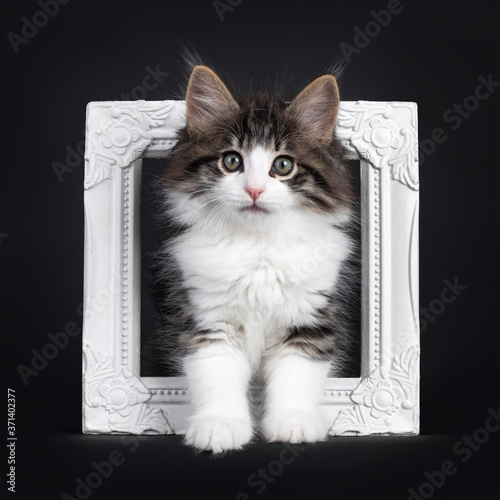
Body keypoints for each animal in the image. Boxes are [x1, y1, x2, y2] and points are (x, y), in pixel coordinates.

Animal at [144, 65, 356, 454]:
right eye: (232, 161)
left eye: (283, 165)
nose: (254, 190)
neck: (258, 246)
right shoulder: (207, 318)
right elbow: (215, 374)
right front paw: (219, 426)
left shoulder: (309, 317)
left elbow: (297, 375)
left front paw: (293, 424)